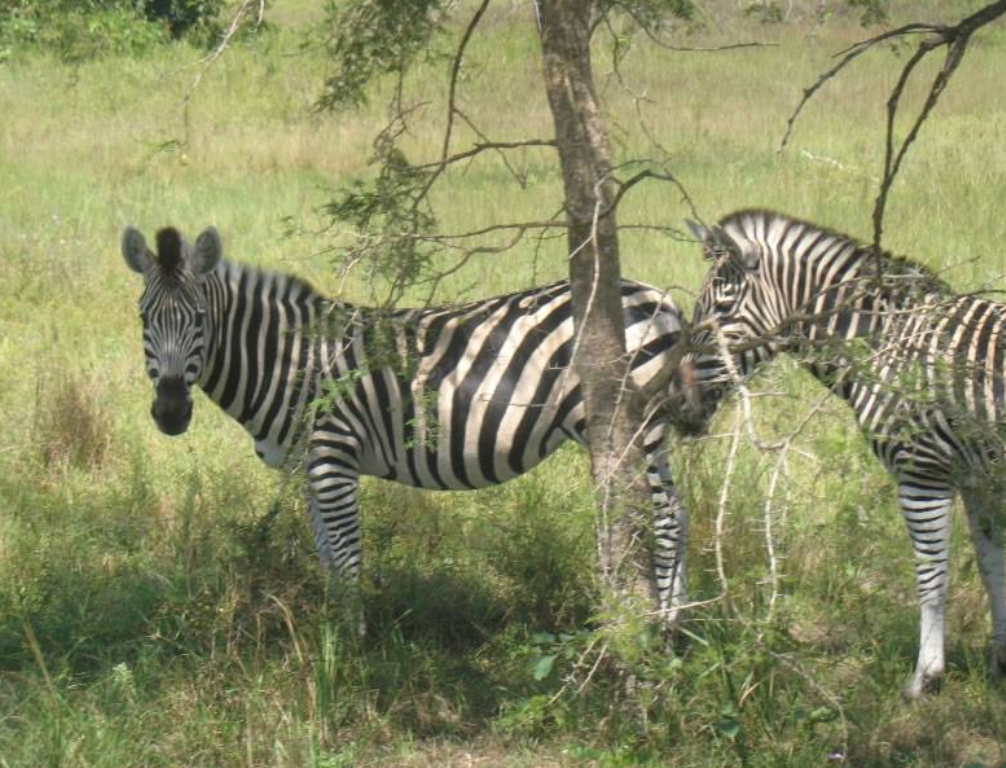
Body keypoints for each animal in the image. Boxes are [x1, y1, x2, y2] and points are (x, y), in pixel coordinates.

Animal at [119, 223, 692, 632]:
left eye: (199, 319)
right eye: (144, 318)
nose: (170, 412)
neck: (289, 360)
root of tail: (658, 297)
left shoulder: (333, 457)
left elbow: (347, 555)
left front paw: (350, 653)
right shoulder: (308, 467)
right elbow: (325, 556)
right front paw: (331, 633)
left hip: (636, 423)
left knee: (664, 520)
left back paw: (660, 631)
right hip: (649, 431)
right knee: (678, 514)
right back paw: (681, 624)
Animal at [667, 207, 1006, 700]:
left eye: (722, 309)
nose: (675, 402)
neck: (884, 340)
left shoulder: (922, 472)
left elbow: (932, 576)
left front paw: (924, 676)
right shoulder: (978, 480)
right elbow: (991, 565)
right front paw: (1001, 663)